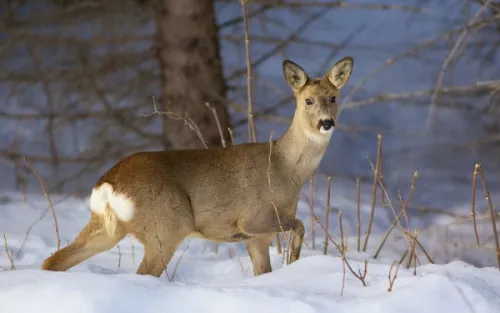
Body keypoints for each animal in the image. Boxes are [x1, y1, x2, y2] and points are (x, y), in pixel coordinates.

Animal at [41, 56, 354, 276]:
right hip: (166, 225)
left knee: (54, 259)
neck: (284, 168)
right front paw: (294, 261)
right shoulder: (254, 218)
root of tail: (108, 183)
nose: (326, 122)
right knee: (143, 272)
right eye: (308, 100)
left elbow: (263, 272)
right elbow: (300, 226)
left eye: (333, 97)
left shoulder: (256, 237)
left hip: (107, 227)